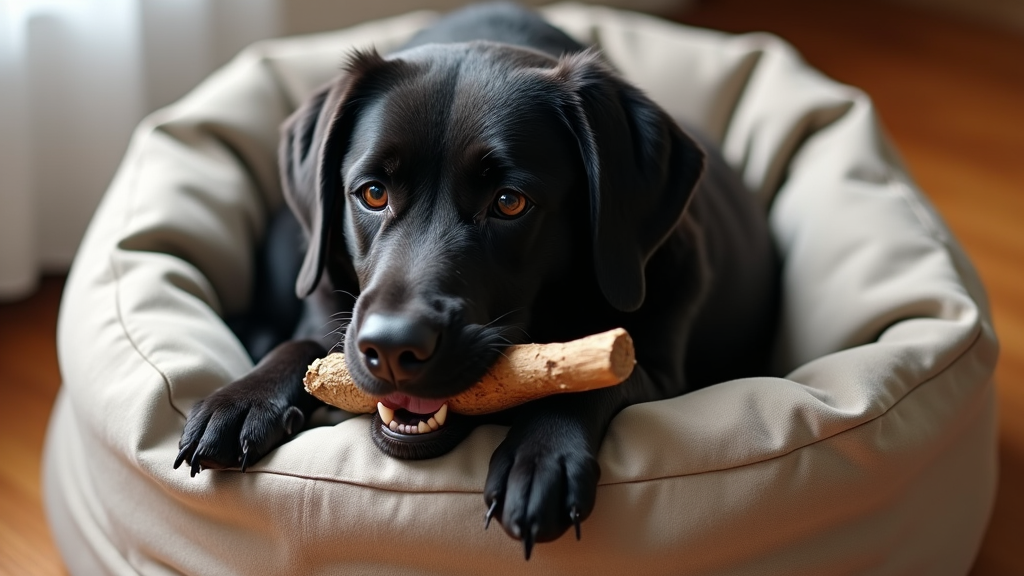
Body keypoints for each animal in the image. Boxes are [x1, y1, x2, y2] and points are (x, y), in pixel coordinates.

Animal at [176, 1, 774, 557]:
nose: (392, 349)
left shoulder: (660, 367)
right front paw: (242, 399)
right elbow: (299, 346)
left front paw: (541, 457)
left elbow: (593, 377)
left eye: (509, 203)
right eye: (372, 193)